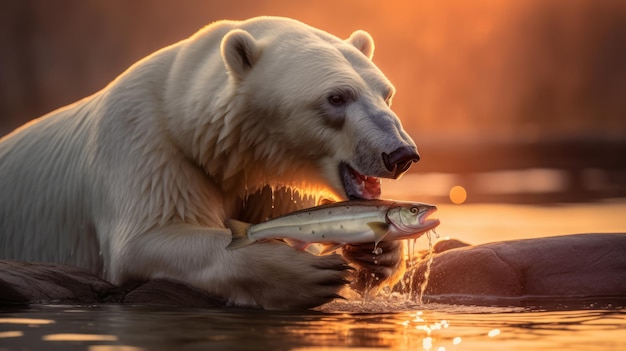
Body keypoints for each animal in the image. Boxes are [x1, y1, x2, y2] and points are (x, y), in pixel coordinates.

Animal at [2, 16, 420, 310]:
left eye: (386, 93)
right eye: (336, 97)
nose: (400, 155)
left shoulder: (270, 181)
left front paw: (378, 254)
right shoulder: (147, 145)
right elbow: (148, 237)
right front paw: (303, 272)